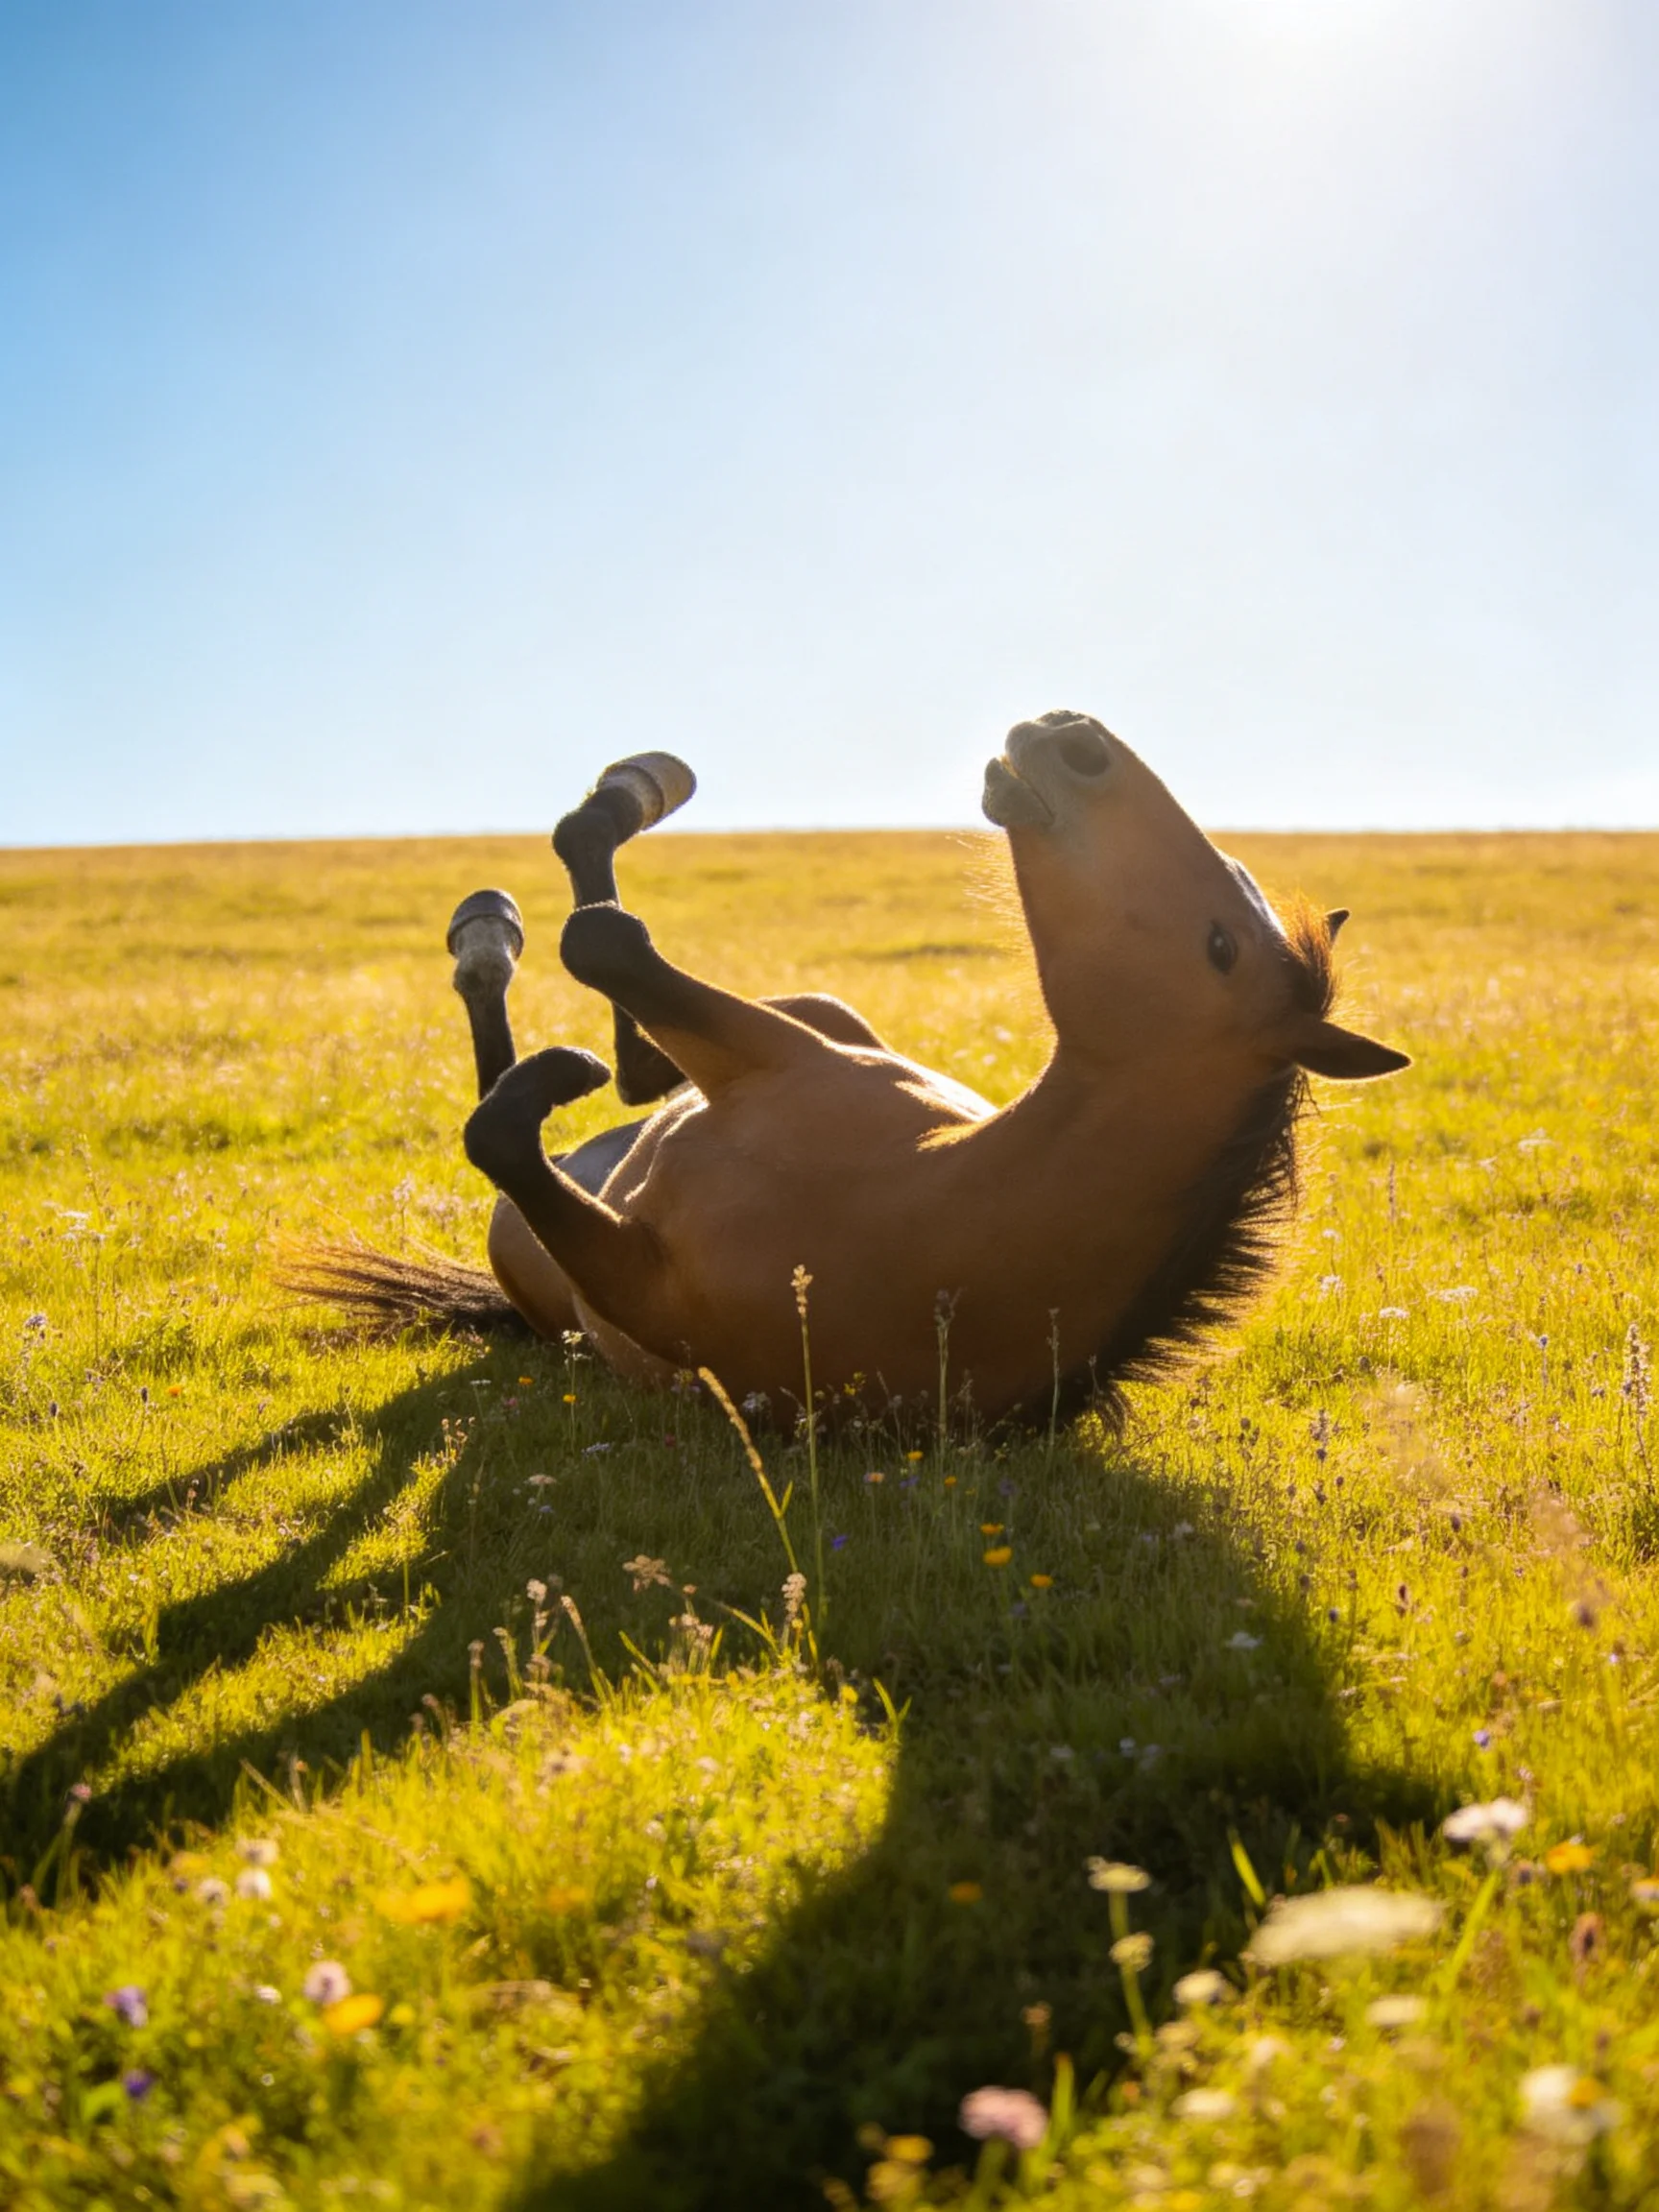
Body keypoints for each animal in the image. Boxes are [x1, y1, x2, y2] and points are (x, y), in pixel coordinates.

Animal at [301, 713, 1407, 1427]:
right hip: (821, 1021)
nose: (1076, 737)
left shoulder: (640, 1278)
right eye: (1238, 905)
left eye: (1221, 948)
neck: (940, 1210)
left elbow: (570, 997)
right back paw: (588, 834)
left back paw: (505, 944)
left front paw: (545, 1074)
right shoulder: (788, 1054)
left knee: (577, 1076)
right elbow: (604, 955)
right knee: (634, 1066)